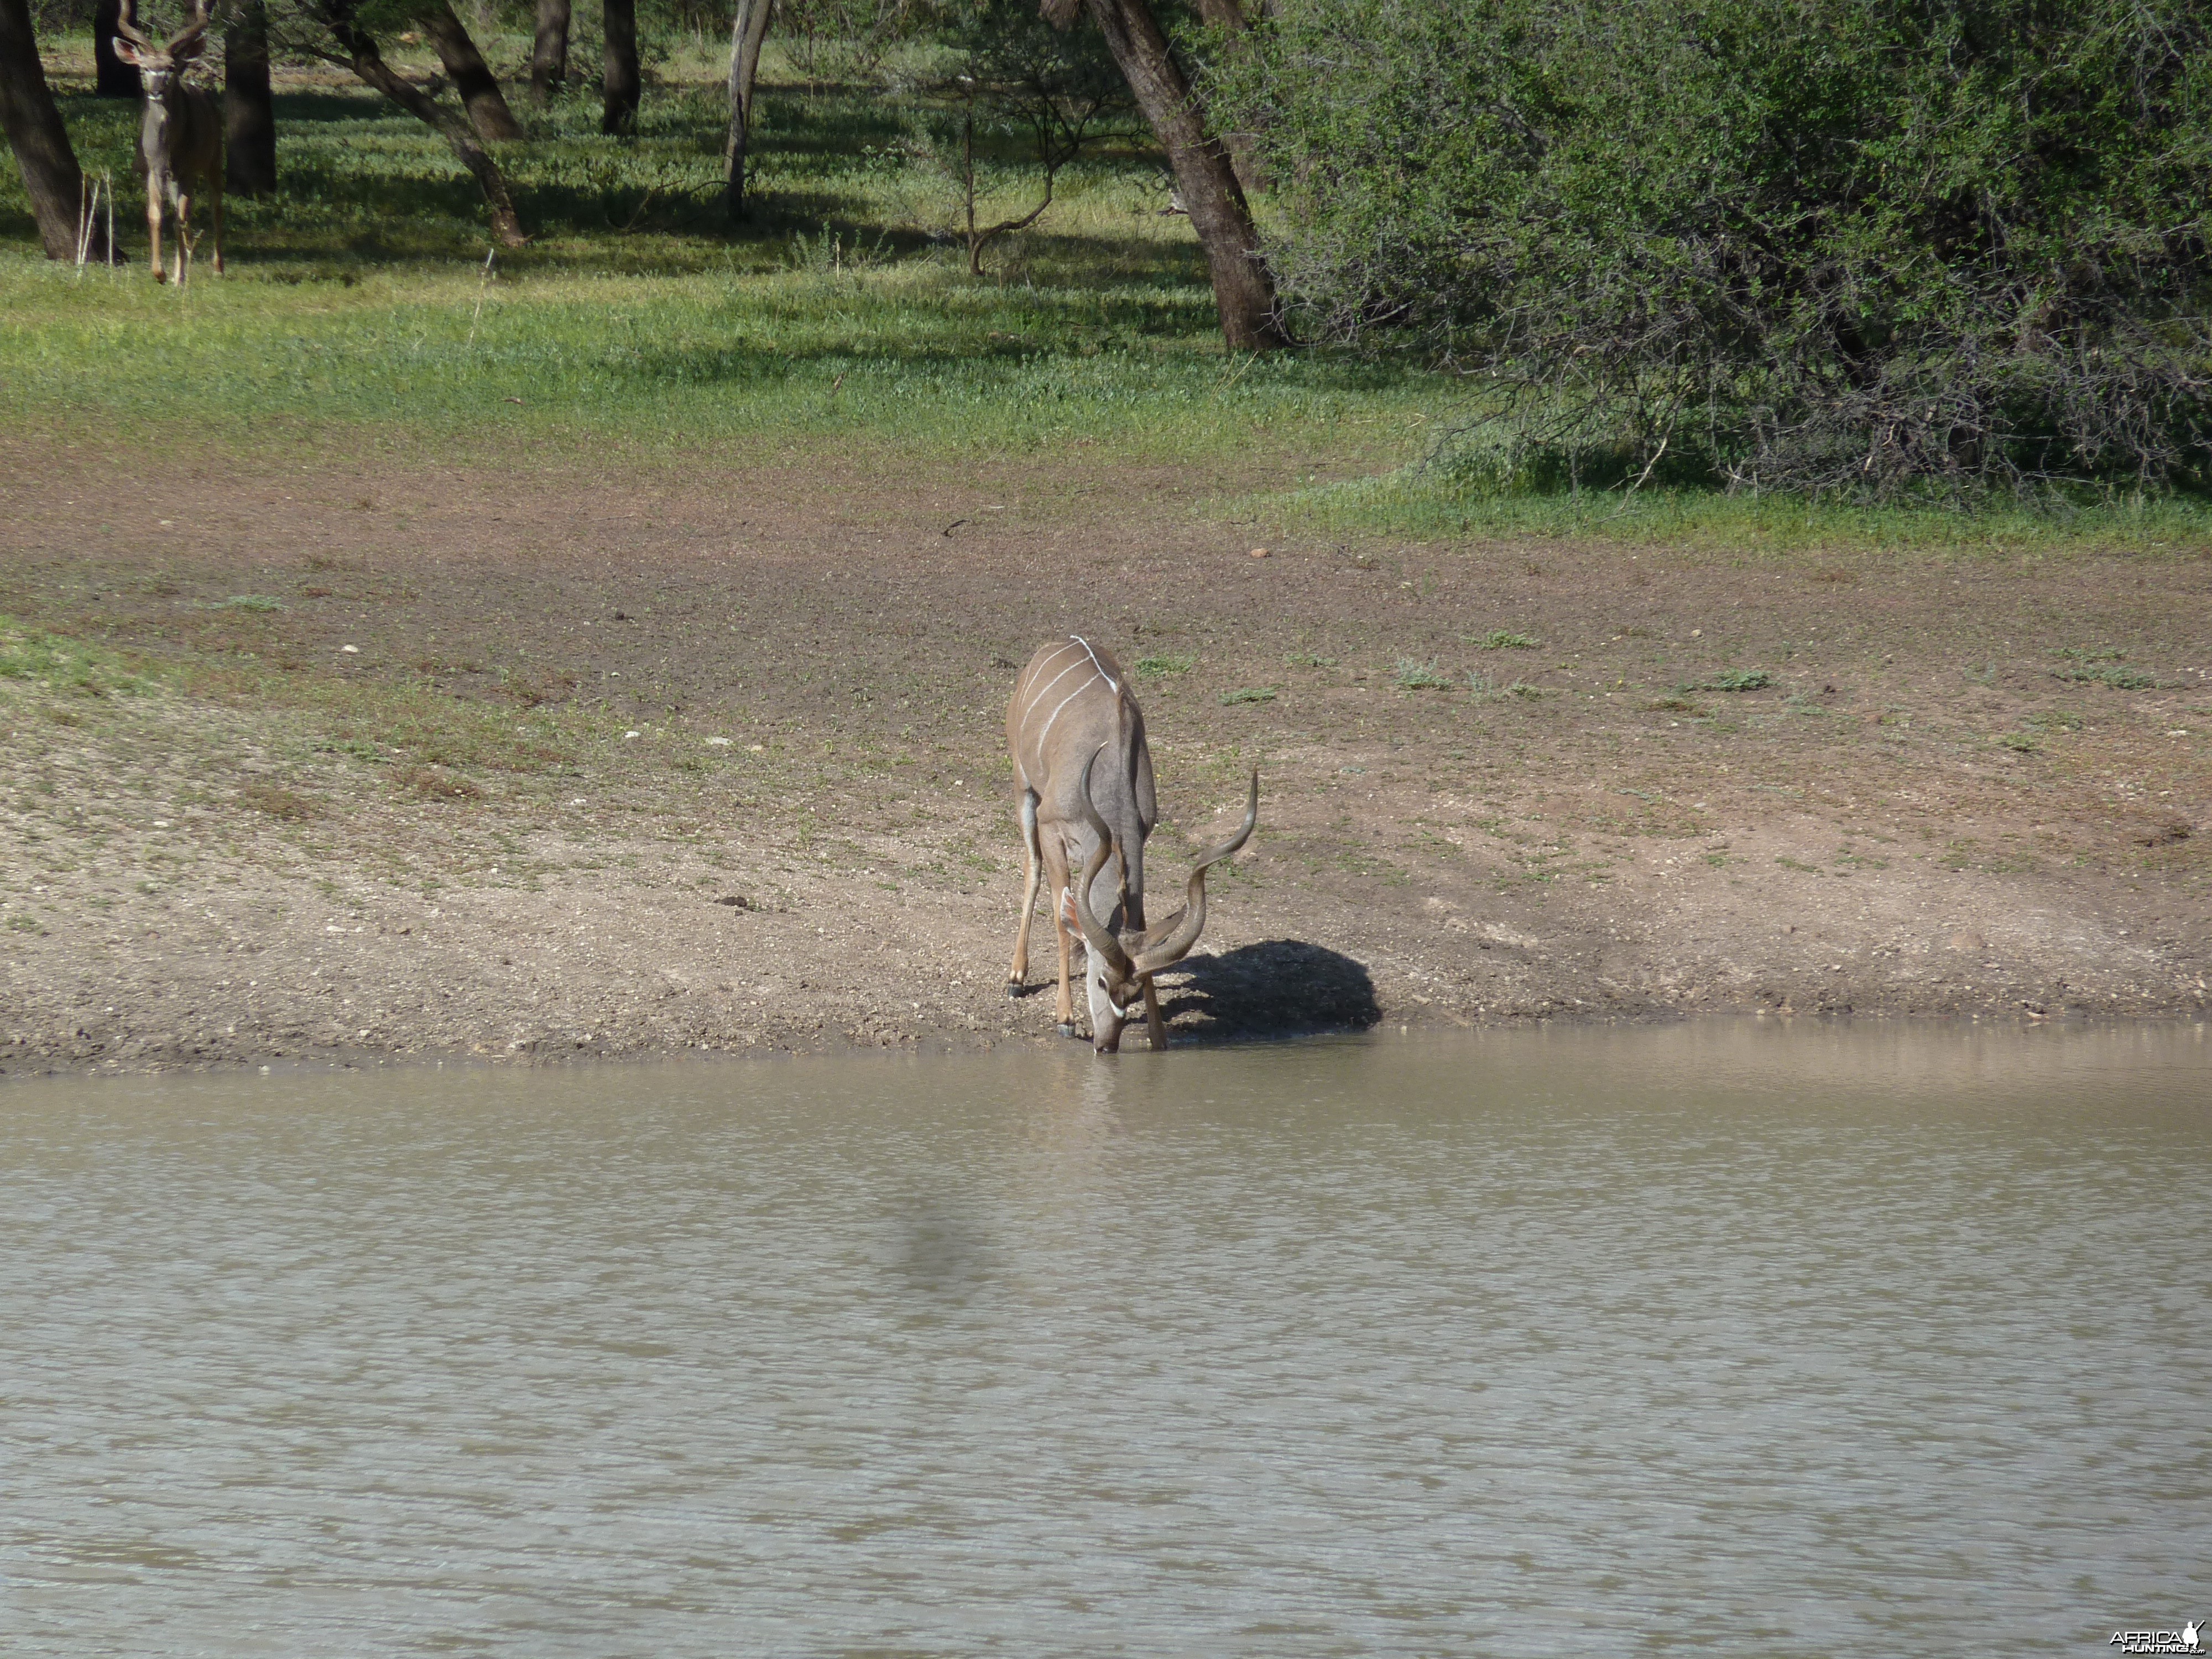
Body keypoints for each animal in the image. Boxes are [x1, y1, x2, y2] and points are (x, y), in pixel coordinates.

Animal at [112, 0, 222, 283]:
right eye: (143, 68)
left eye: (171, 68)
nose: (155, 91)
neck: (169, 149)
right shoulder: (154, 169)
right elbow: (156, 215)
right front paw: (160, 273)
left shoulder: (187, 171)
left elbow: (181, 218)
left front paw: (176, 275)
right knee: (182, 213)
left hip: (214, 159)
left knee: (215, 206)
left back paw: (217, 268)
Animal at [1009, 637, 1256, 1053]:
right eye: (1101, 981)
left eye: (1136, 992)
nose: (1106, 1045)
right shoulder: (1051, 826)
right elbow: (1061, 920)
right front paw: (1065, 1018)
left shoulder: (1143, 832)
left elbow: (1137, 919)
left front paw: (1159, 1038)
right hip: (1023, 785)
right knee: (1032, 870)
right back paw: (1016, 976)